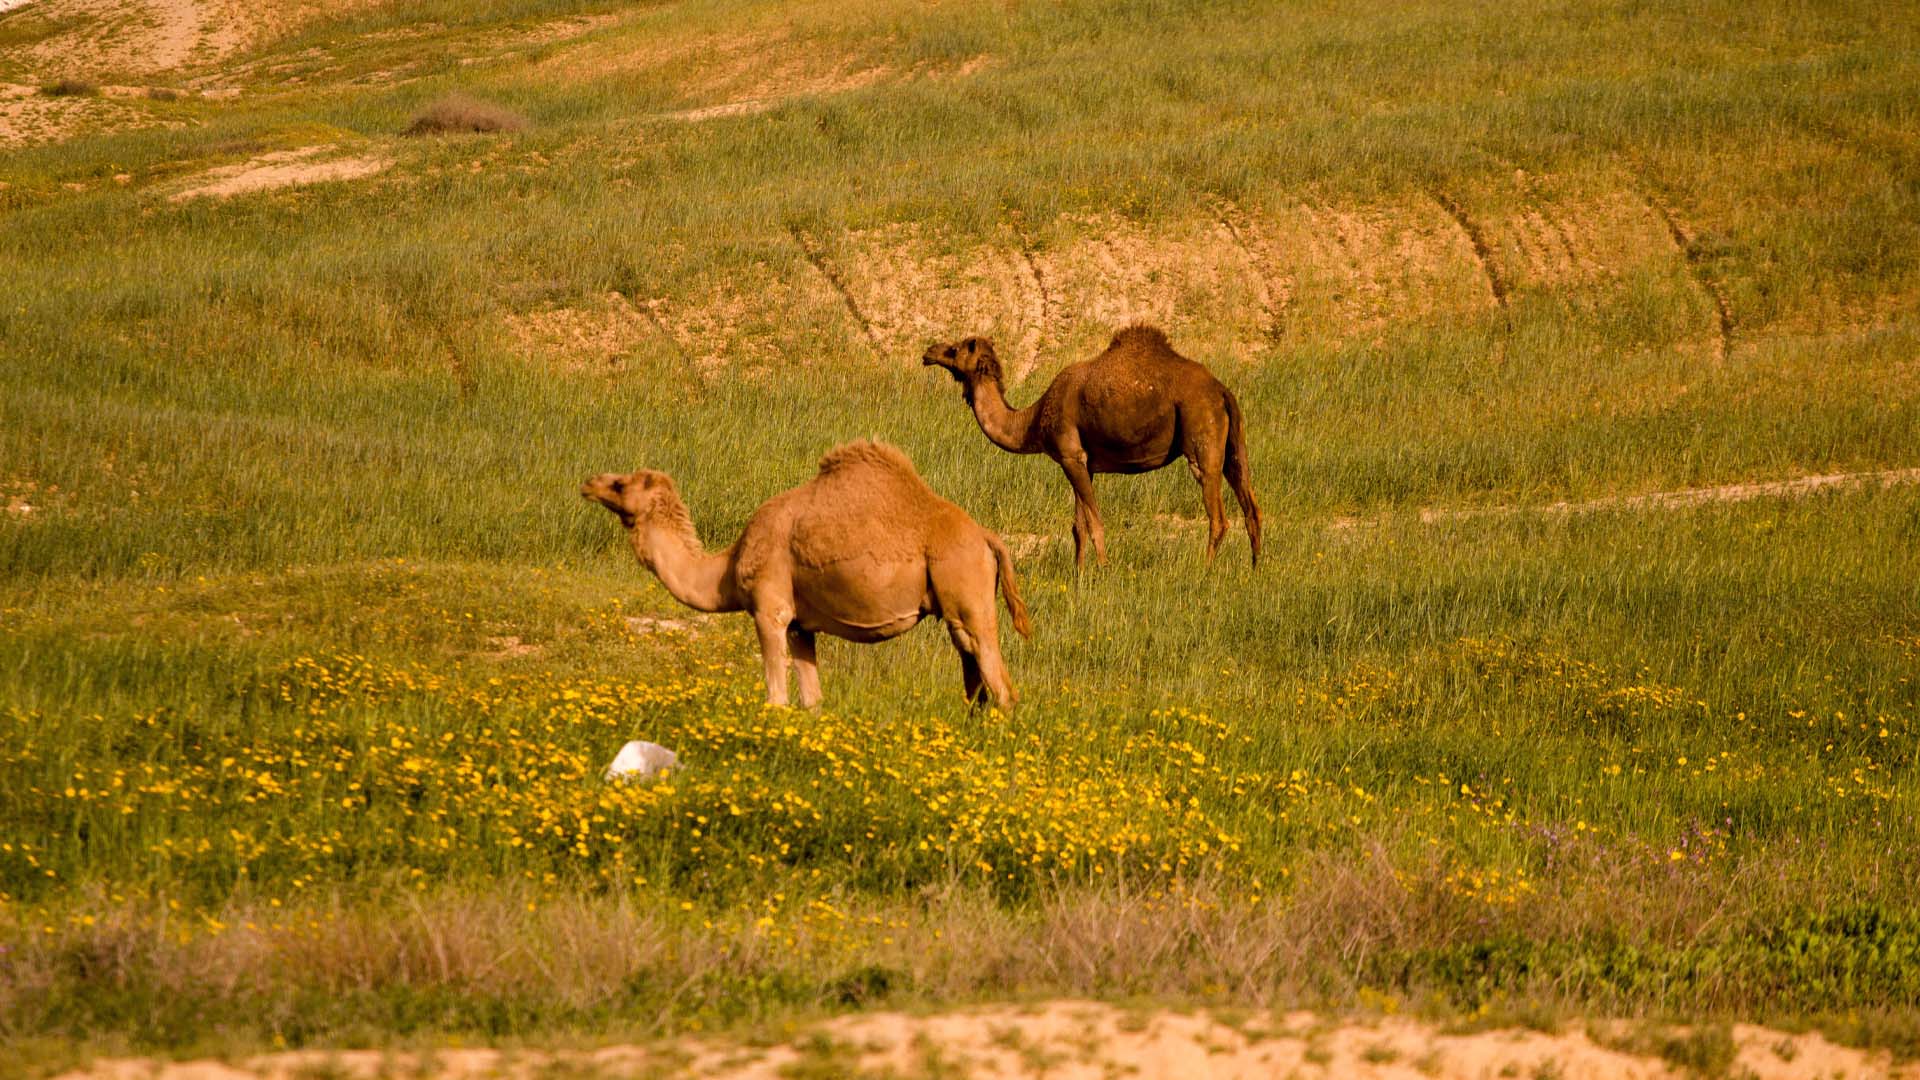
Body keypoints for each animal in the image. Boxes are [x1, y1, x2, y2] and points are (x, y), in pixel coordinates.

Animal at [580, 440, 1032, 710]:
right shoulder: (801, 626)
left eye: (619, 484)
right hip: (956, 605)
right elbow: (812, 701)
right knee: (974, 674)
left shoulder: (770, 609)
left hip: (964, 584)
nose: (588, 483)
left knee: (1001, 686)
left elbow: (776, 698)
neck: (728, 567)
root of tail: (985, 536)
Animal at [922, 323, 1261, 567]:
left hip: (1200, 435)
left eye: (954, 349)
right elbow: (1078, 527)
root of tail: (1221, 390)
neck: (1034, 419)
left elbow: (1095, 523)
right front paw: (1079, 574)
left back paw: (1205, 571)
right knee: (1251, 504)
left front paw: (1102, 570)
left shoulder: (1070, 455)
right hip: (1234, 444)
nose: (928, 351)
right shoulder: (1082, 462)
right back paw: (1255, 569)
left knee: (1218, 515)